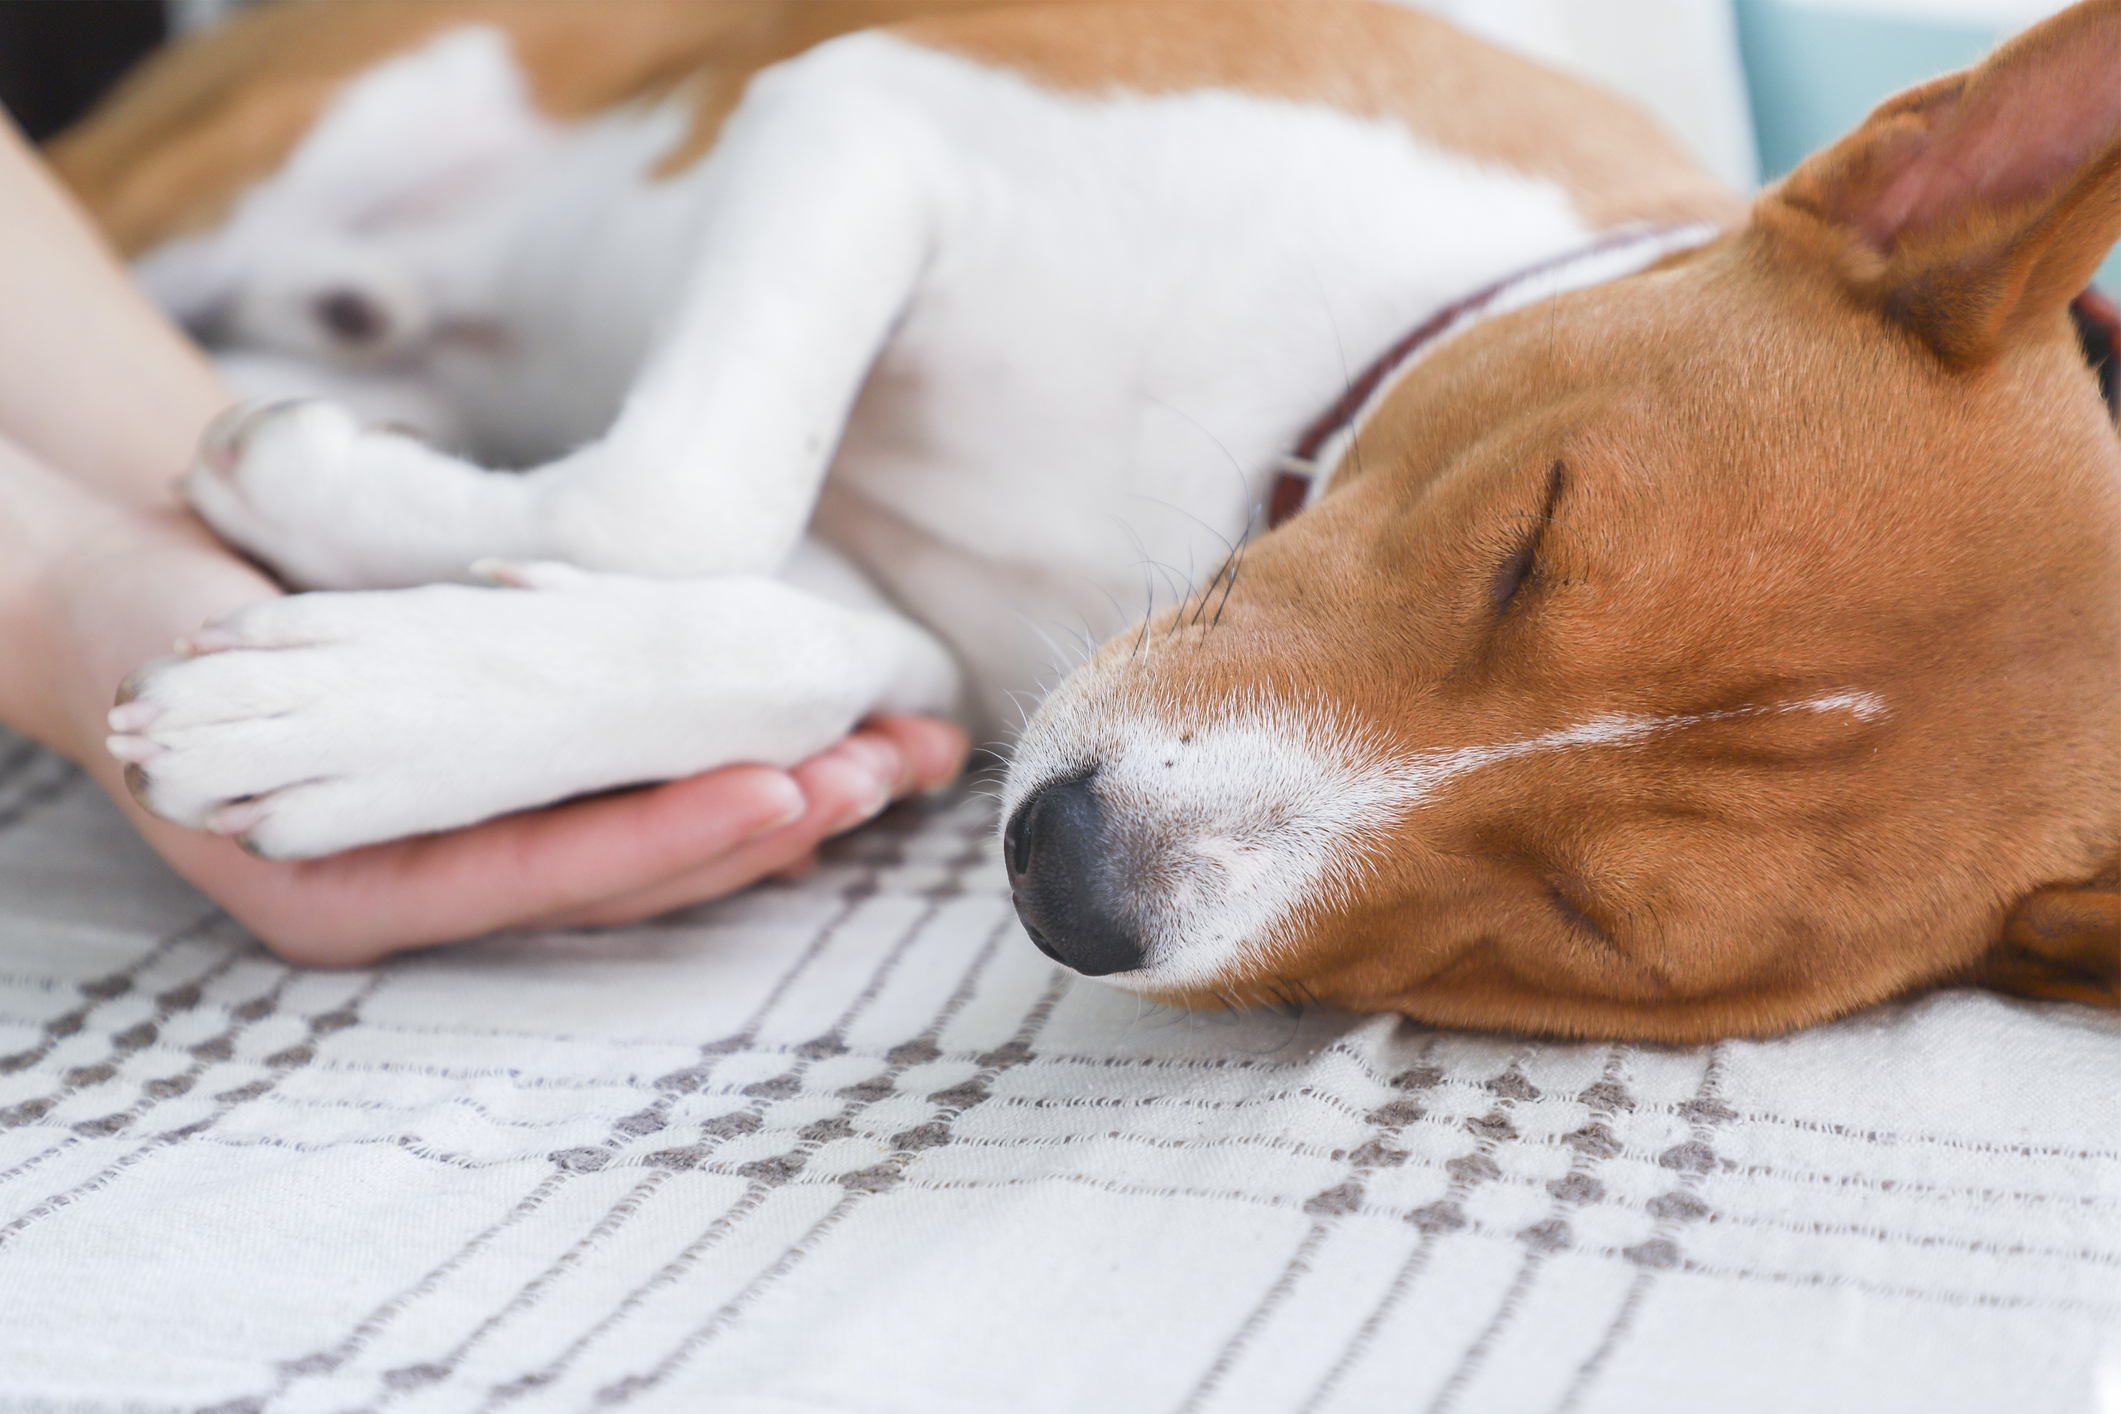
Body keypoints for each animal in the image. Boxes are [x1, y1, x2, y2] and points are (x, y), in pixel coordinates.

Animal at [53, 0, 2121, 1038]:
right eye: (1528, 537)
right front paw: (310, 498)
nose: (1069, 875)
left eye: (1597, 930)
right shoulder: (877, 111)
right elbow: (680, 487)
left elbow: (802, 617)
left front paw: (369, 705)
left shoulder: (913, 614)